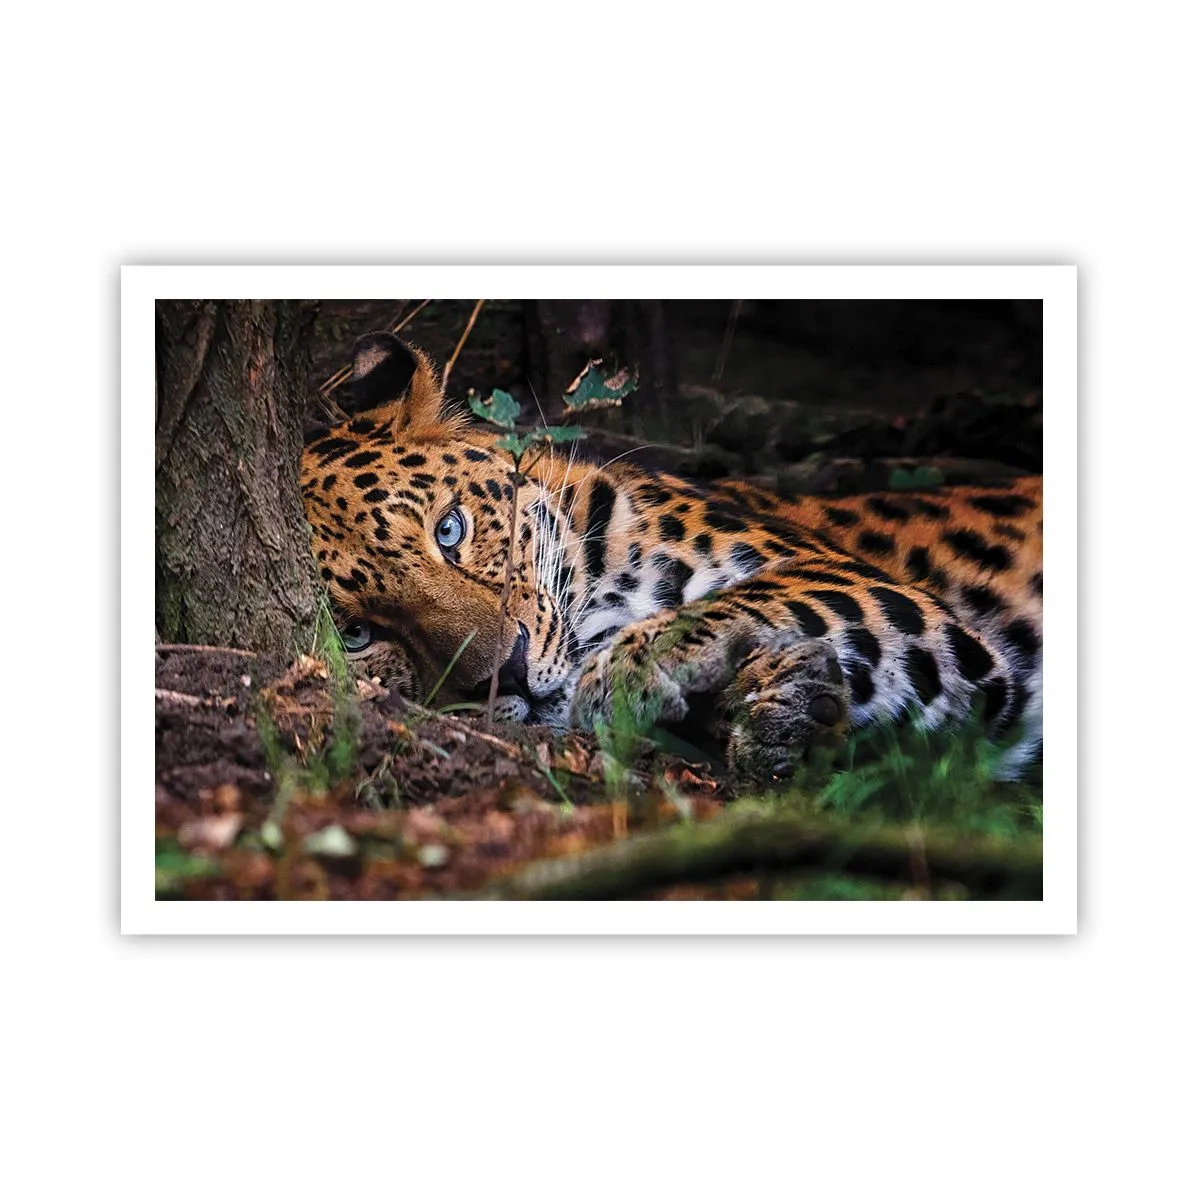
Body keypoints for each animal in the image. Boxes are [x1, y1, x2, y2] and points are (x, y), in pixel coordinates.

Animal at [301, 332, 1043, 781]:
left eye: (450, 530)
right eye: (358, 635)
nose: (506, 673)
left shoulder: (864, 583)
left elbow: (760, 593)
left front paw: (634, 665)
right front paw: (786, 714)